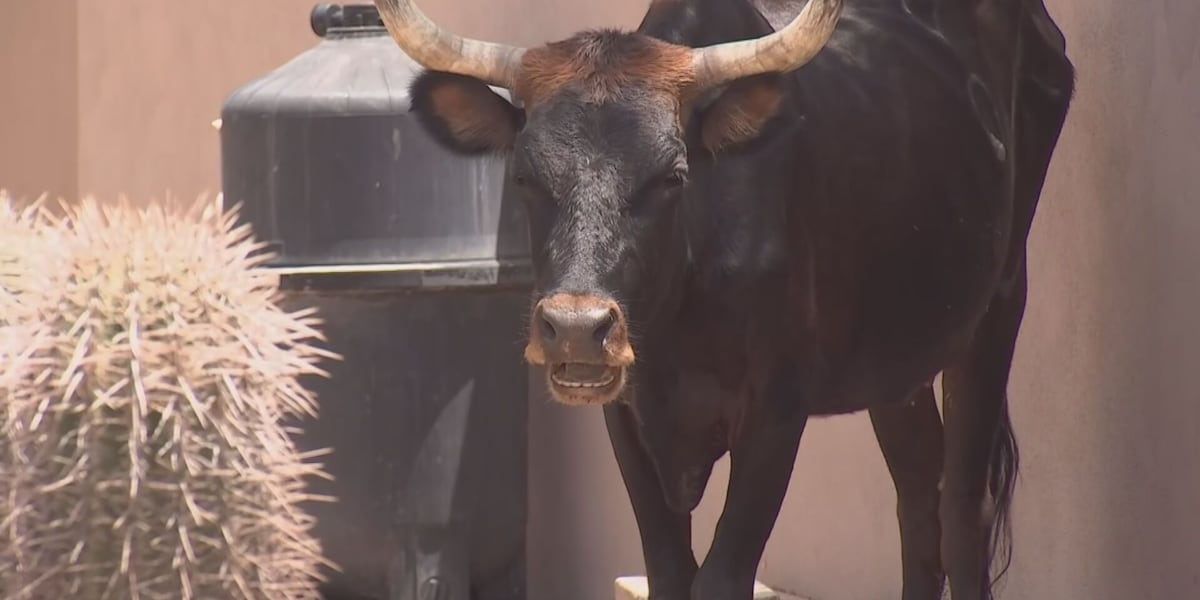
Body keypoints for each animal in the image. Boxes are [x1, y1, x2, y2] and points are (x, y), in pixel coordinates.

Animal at [372, 0, 1076, 598]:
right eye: (523, 176)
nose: (576, 328)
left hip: (1000, 304)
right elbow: (668, 571)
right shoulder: (625, 416)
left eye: (672, 176)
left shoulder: (775, 413)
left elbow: (721, 576)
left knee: (962, 507)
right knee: (918, 493)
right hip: (897, 357)